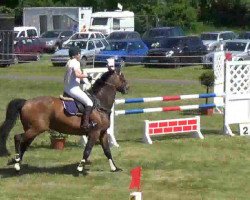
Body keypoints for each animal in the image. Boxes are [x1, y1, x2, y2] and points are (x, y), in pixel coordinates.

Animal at [0, 66, 129, 173]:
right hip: (36, 129)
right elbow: (87, 150)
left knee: (24, 144)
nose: (127, 88)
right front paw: (80, 167)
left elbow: (107, 151)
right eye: (122, 77)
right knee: (18, 138)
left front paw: (114, 168)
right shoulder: (94, 132)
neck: (99, 104)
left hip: (32, 129)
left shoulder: (103, 133)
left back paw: (17, 163)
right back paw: (16, 161)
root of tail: (26, 102)